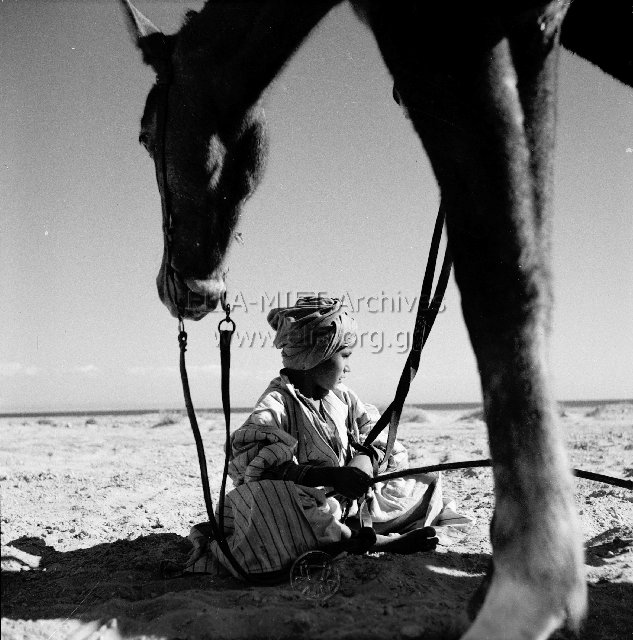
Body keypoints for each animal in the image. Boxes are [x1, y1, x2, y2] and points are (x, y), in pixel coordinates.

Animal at [121, 2, 628, 636]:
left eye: (146, 135)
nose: (176, 286)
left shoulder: (456, 29)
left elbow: (504, 277)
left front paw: (523, 594)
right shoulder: (525, 31)